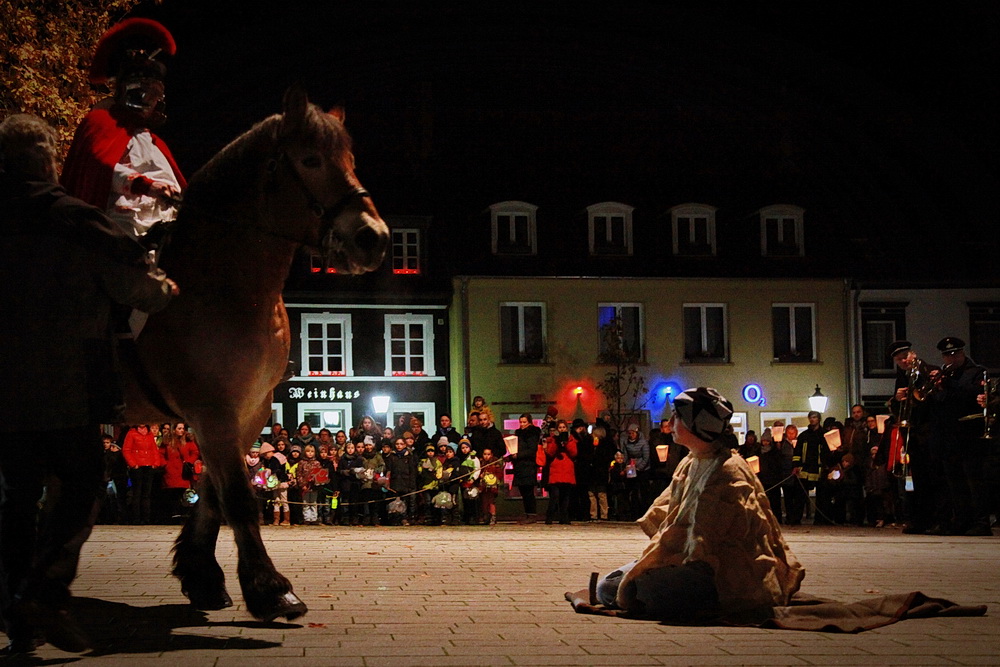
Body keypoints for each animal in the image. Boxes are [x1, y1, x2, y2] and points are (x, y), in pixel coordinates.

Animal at [126, 87, 390, 620]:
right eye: (310, 159)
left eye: (350, 160)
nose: (373, 238)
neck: (224, 286)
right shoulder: (211, 410)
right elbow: (240, 497)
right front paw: (269, 587)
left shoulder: (248, 409)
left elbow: (215, 493)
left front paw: (202, 575)